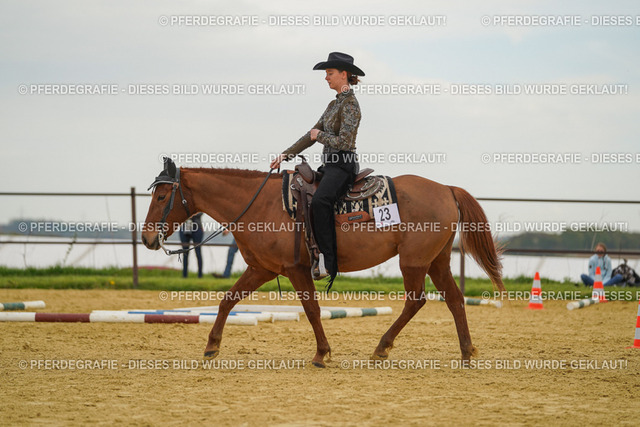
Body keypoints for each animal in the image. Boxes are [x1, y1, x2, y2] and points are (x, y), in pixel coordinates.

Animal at [141, 159, 505, 368]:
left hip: (414, 262)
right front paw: (211, 346)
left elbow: (312, 309)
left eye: (162, 196)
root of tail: (446, 189)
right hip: (436, 262)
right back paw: (466, 351)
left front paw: (321, 353)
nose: (146, 238)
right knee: (454, 299)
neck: (261, 204)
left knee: (416, 301)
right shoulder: (262, 269)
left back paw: (382, 347)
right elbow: (227, 300)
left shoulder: (296, 270)